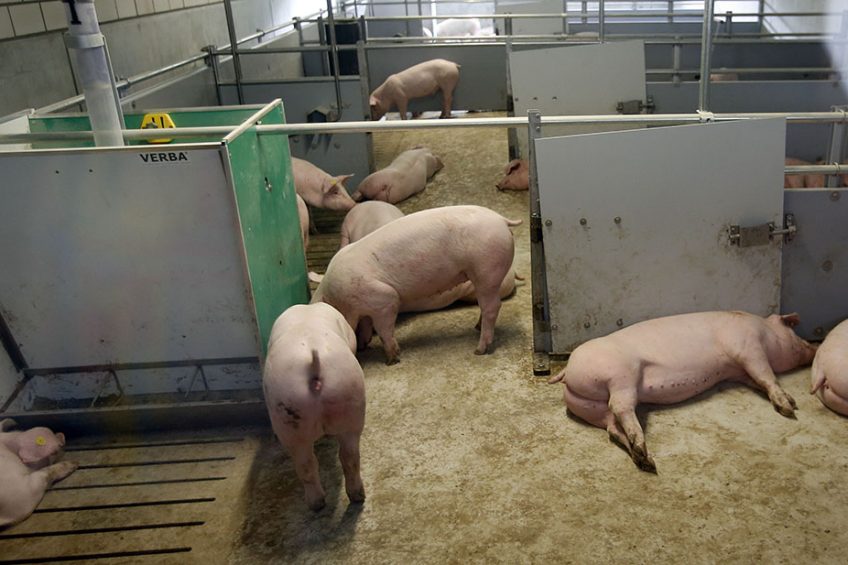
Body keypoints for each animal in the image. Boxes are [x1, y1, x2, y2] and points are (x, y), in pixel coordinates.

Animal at [264, 304, 366, 512]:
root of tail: (313, 360)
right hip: (347, 394)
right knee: (346, 457)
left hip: (291, 410)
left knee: (309, 463)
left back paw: (319, 504)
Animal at [312, 205, 520, 364]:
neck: (337, 297)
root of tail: (501, 220)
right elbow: (365, 324)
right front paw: (364, 345)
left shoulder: (383, 298)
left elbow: (384, 328)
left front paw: (392, 360)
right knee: (487, 306)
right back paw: (476, 328)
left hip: (487, 270)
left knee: (492, 306)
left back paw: (479, 349)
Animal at [548, 312, 820, 472]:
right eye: (793, 329)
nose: (815, 347)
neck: (764, 329)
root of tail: (568, 370)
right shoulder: (747, 347)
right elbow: (766, 375)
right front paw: (790, 406)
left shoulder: (739, 372)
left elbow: (759, 381)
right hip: (621, 377)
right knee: (621, 407)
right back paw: (644, 450)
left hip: (591, 408)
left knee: (612, 429)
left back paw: (645, 460)